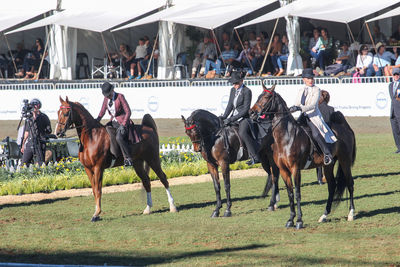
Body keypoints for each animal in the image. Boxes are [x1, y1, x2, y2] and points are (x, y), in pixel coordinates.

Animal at [250, 86, 356, 230]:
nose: (251, 113)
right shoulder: (283, 170)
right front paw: (290, 220)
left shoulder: (295, 169)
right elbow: (290, 194)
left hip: (345, 161)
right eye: (258, 96)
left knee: (350, 183)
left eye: (266, 97)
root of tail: (345, 127)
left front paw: (299, 221)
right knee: (332, 186)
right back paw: (324, 215)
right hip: (328, 165)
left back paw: (351, 214)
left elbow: (297, 193)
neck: (286, 138)